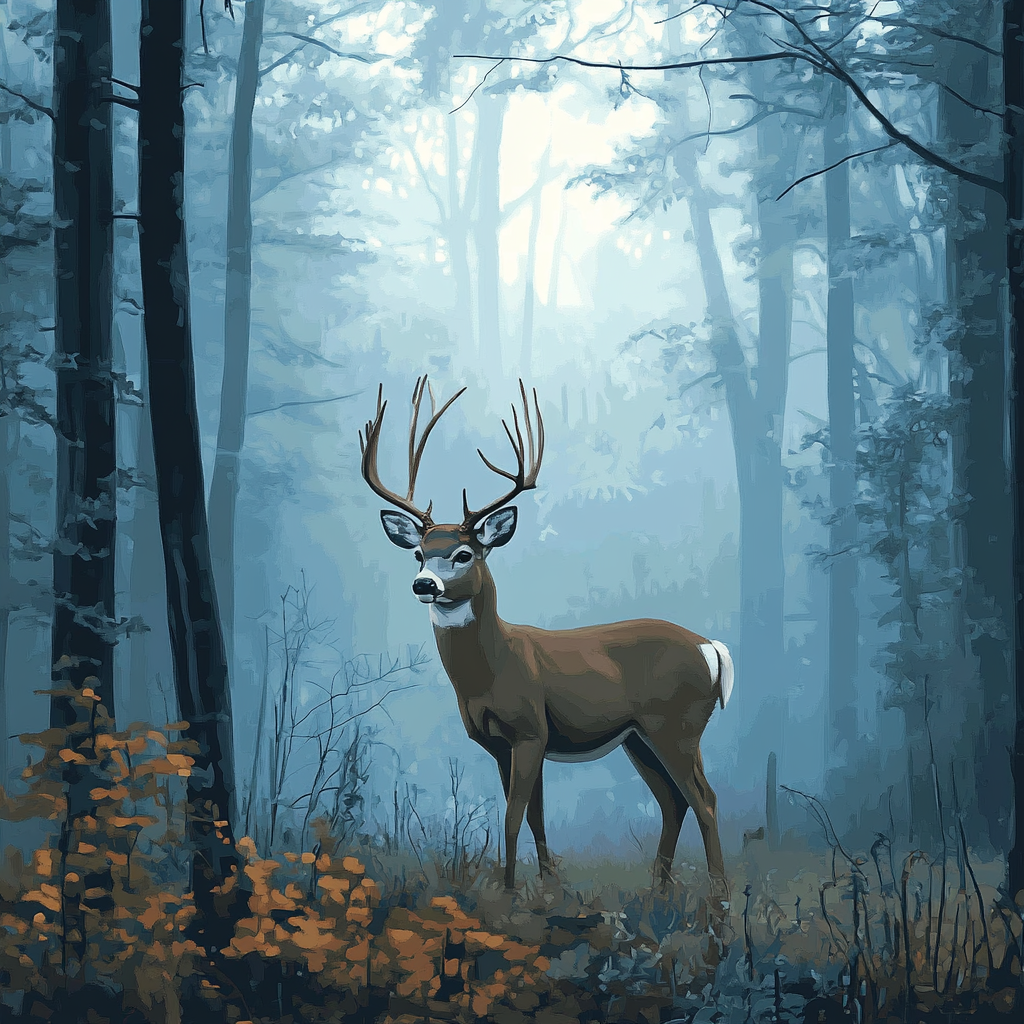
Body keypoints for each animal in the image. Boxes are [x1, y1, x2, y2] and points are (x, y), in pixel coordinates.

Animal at [359, 377, 734, 903]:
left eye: (463, 553)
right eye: (418, 553)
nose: (423, 585)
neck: (493, 667)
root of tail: (710, 648)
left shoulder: (530, 728)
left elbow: (514, 817)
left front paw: (510, 892)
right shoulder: (501, 742)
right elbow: (533, 816)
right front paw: (545, 888)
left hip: (677, 724)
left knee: (705, 799)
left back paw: (719, 899)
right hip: (639, 736)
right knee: (674, 802)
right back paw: (658, 892)